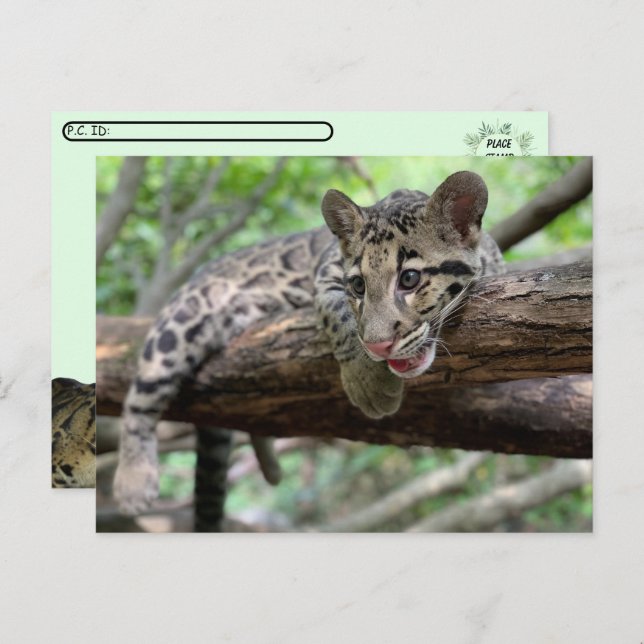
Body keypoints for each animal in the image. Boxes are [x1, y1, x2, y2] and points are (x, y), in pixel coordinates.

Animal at [113, 170, 504, 530]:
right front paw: (367, 380)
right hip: (181, 322)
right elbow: (338, 314)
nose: (378, 345)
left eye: (409, 279)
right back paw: (133, 480)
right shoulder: (327, 271)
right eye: (358, 286)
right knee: (141, 396)